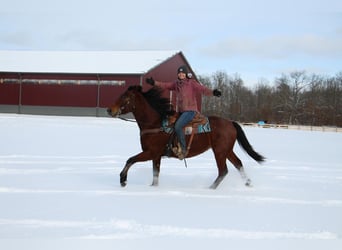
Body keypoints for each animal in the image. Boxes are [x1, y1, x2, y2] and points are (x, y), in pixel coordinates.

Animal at [107, 85, 264, 188]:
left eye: (125, 97)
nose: (109, 110)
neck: (155, 123)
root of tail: (230, 122)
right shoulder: (156, 156)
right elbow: (155, 174)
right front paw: (153, 187)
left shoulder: (151, 152)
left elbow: (130, 159)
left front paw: (123, 179)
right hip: (226, 150)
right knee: (238, 164)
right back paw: (248, 183)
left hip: (219, 151)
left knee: (223, 171)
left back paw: (210, 189)